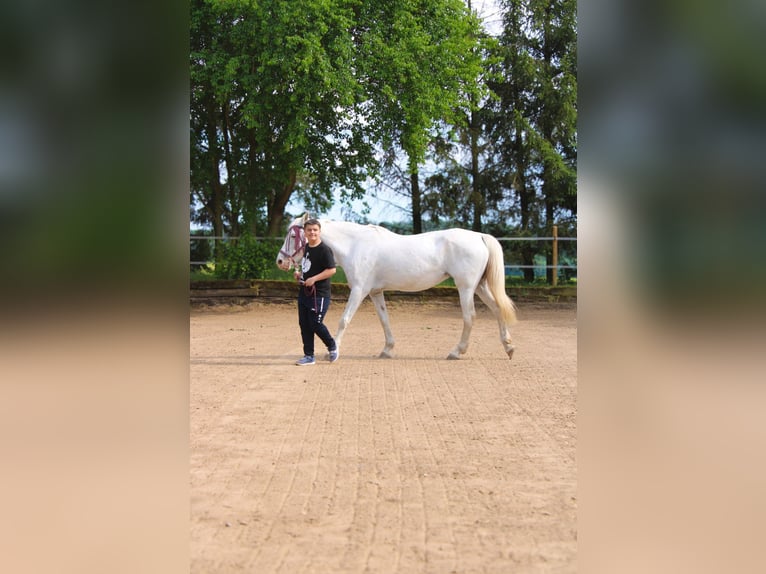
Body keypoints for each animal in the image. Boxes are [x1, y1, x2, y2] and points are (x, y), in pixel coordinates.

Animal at [276, 213, 517, 360]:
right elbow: (385, 320)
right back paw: (508, 347)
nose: (280, 261)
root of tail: (479, 236)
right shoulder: (375, 292)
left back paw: (457, 352)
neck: (355, 245)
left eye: (293, 234)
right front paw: (387, 350)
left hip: (466, 287)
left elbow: (344, 320)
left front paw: (333, 352)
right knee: (497, 310)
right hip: (480, 286)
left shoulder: (359, 290)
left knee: (470, 317)